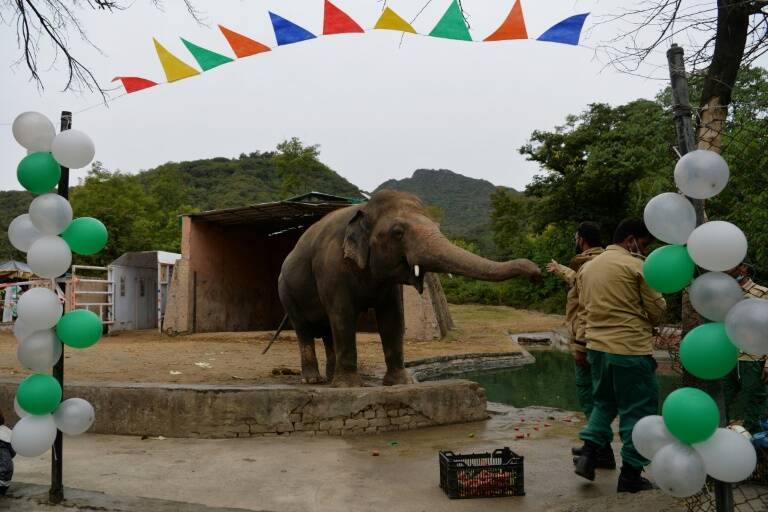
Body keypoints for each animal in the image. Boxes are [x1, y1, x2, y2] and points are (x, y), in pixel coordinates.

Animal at [278, 190, 540, 386]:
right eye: (398, 233)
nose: (536, 272)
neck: (364, 208)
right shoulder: (331, 268)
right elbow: (343, 315)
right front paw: (350, 387)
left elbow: (393, 317)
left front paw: (400, 383)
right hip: (286, 293)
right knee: (306, 329)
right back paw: (314, 380)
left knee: (326, 331)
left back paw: (330, 378)